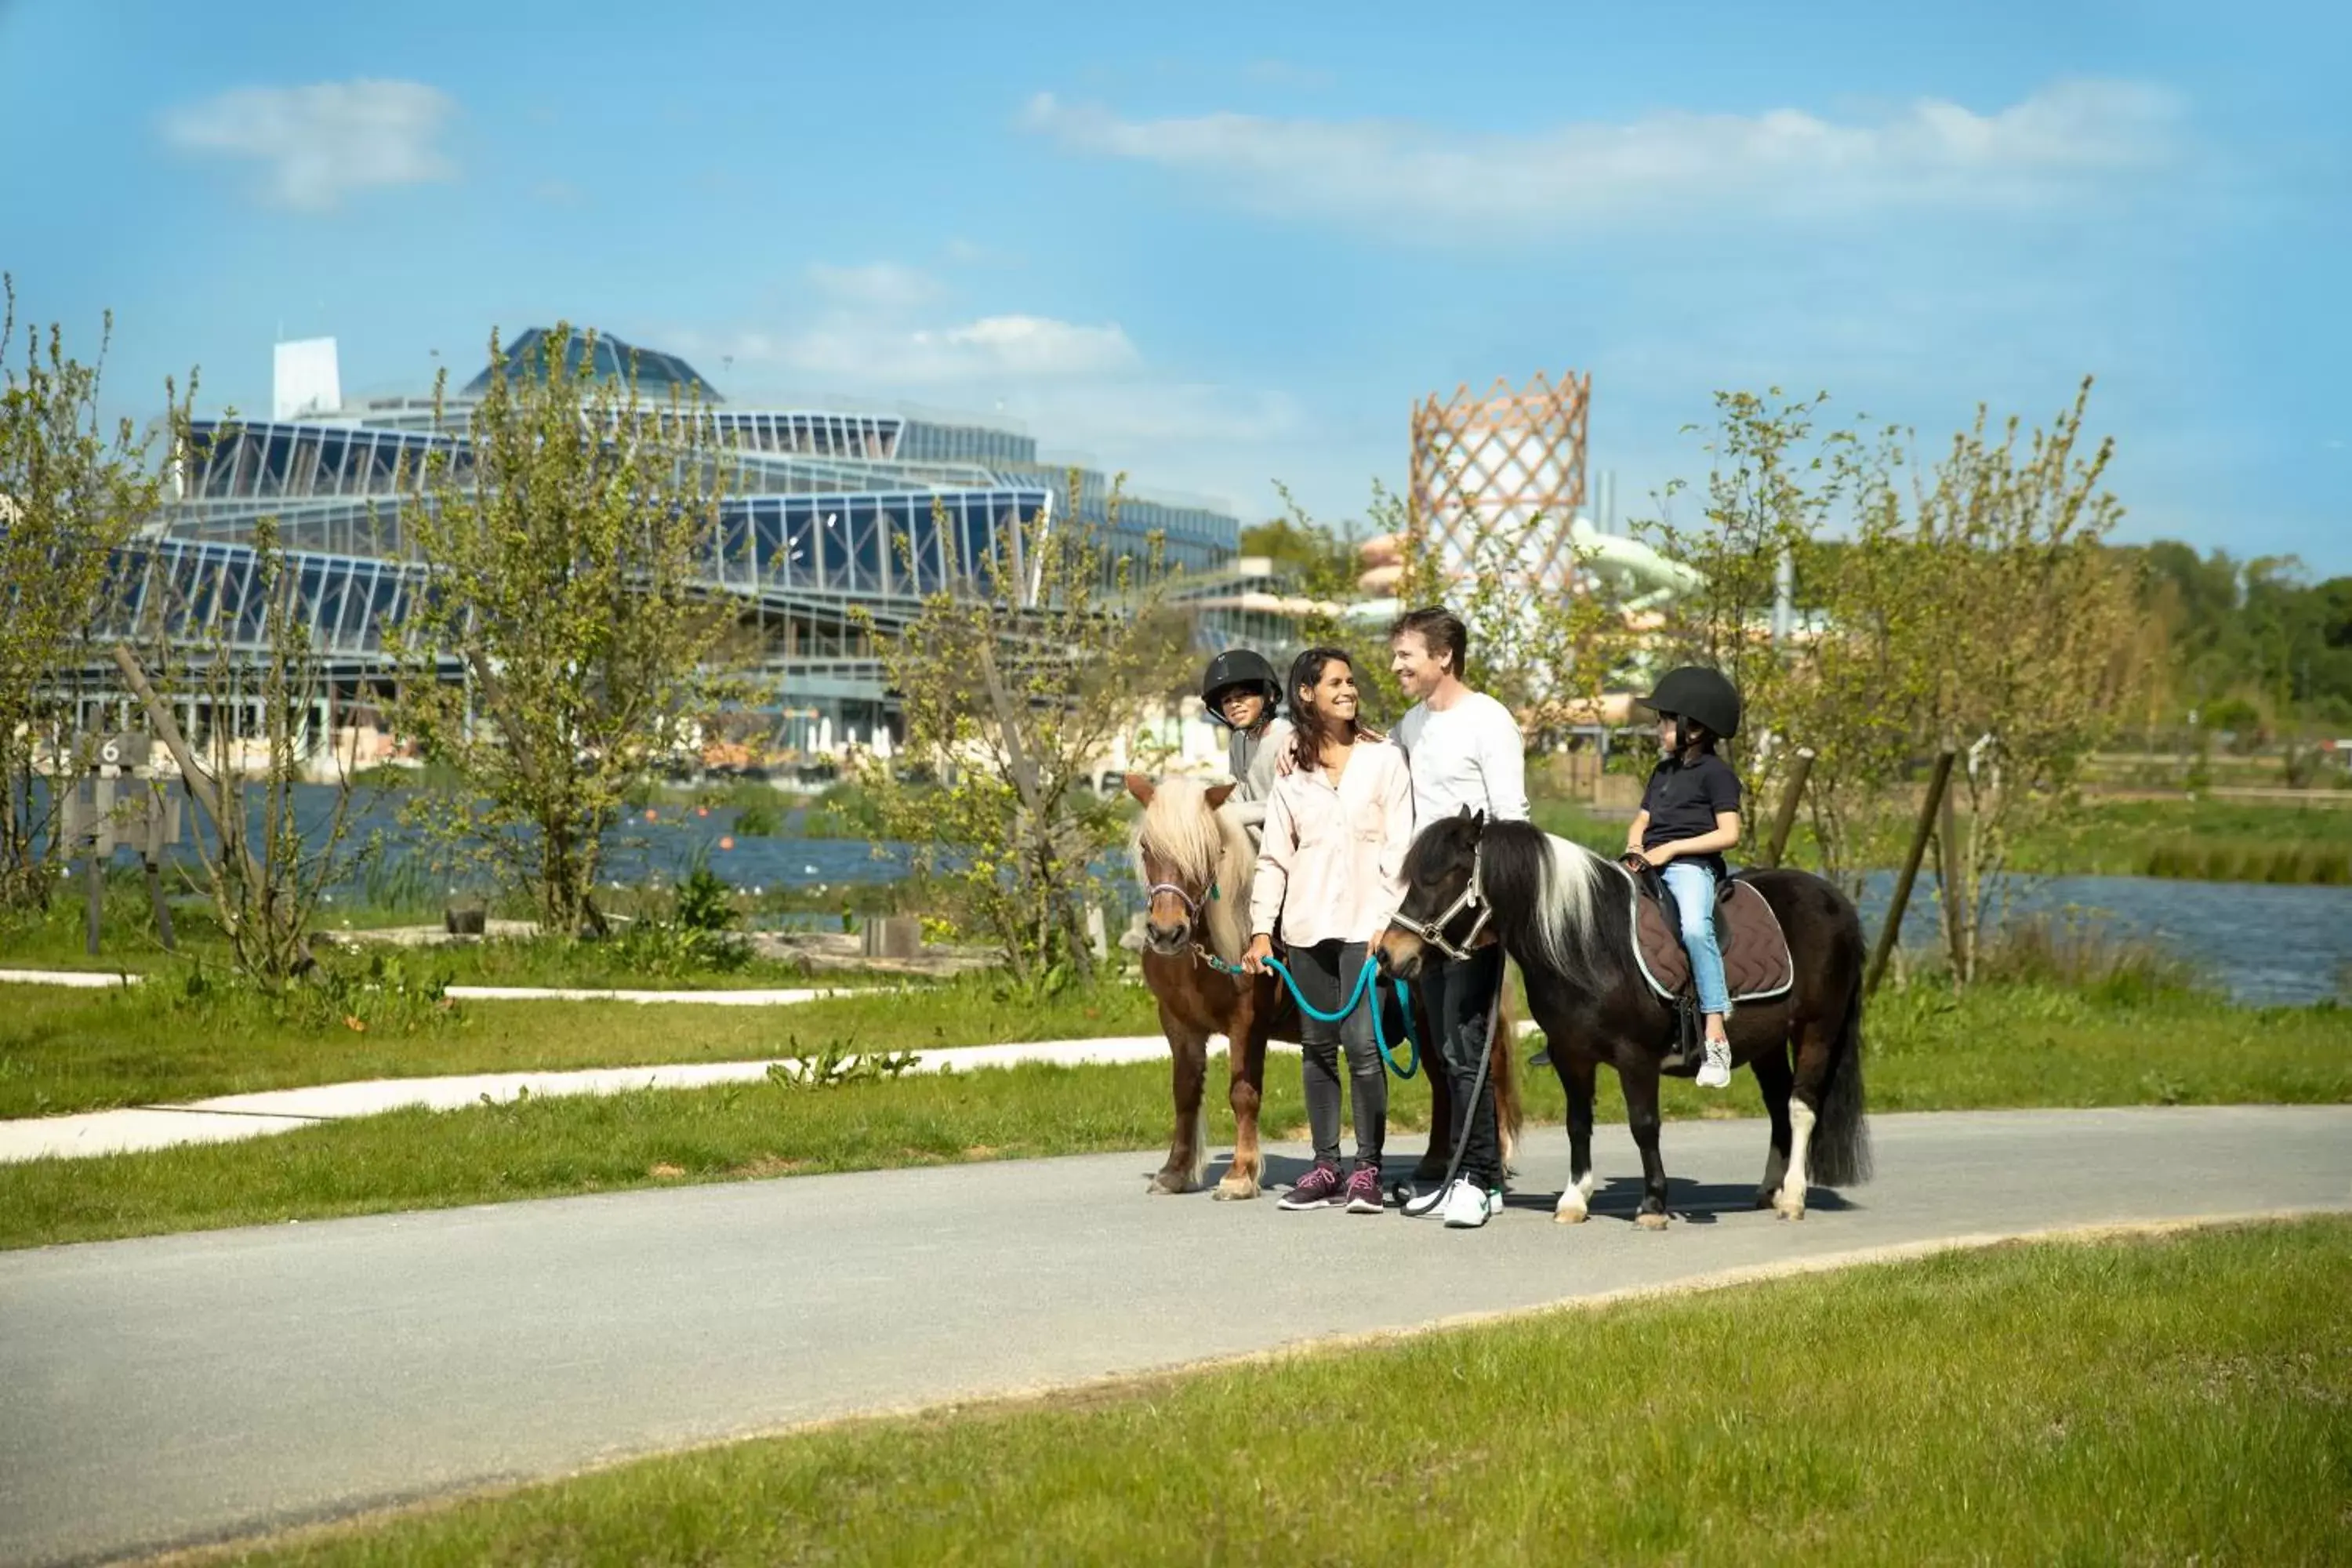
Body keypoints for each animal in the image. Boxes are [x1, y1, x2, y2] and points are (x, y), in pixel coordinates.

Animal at [1124, 775, 1524, 1203]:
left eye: (1207, 851)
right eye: (1147, 847)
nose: (1167, 932)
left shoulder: (1246, 1026)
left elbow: (1243, 1094)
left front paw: (1240, 1175)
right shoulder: (1178, 1026)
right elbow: (1184, 1094)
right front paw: (1175, 1172)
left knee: (1485, 1075)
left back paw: (1496, 1162)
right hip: (1425, 1024)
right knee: (1442, 1082)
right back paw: (1435, 1162)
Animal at [1374, 818, 1863, 1232]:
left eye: (1443, 878)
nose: (1387, 954)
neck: (1588, 942)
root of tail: (1836, 901)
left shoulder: (1636, 1057)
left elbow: (1644, 1125)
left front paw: (1652, 1205)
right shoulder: (1571, 1056)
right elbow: (1577, 1123)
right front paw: (1574, 1200)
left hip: (1817, 1030)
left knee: (1801, 1107)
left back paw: (1793, 1197)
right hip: (1767, 1043)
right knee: (1779, 1105)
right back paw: (1769, 1190)